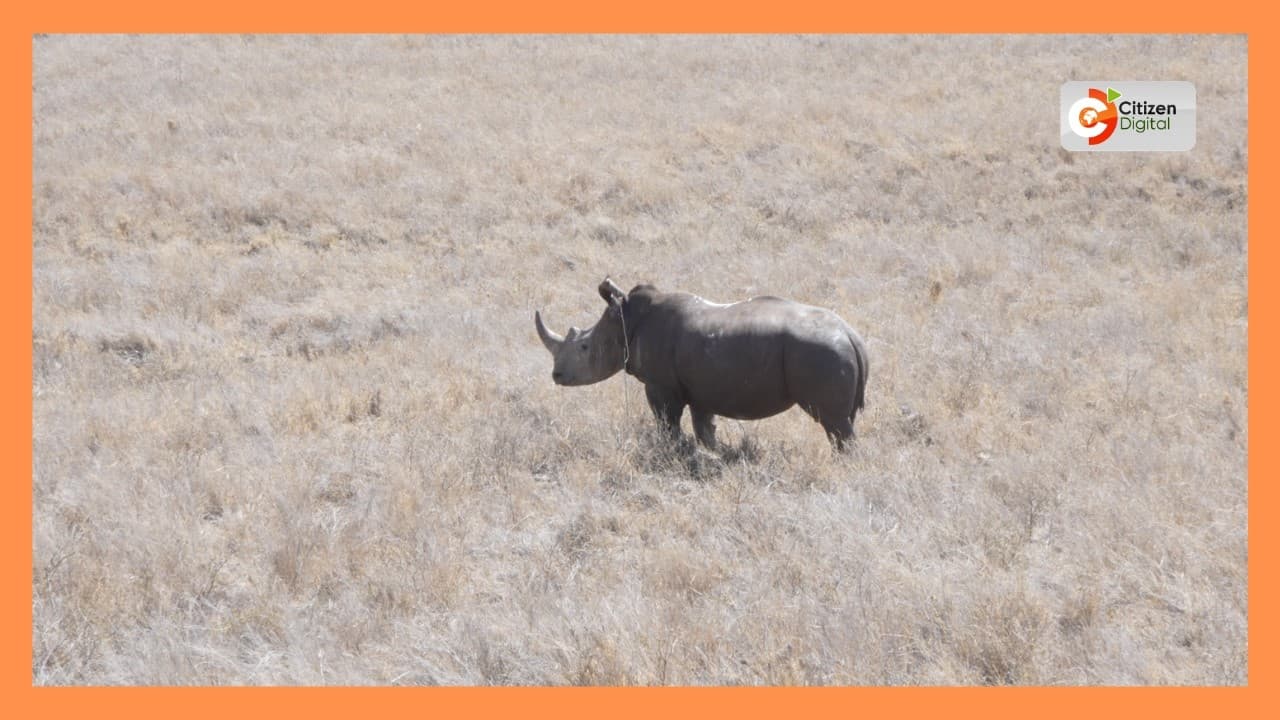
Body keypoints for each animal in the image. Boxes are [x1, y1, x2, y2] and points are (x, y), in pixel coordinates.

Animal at [535, 278, 869, 450]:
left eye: (584, 347)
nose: (556, 375)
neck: (625, 321)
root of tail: (851, 335)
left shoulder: (661, 386)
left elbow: (667, 424)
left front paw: (672, 452)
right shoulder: (702, 388)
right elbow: (704, 428)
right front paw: (712, 455)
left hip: (822, 352)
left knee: (835, 424)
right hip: (832, 350)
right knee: (844, 420)